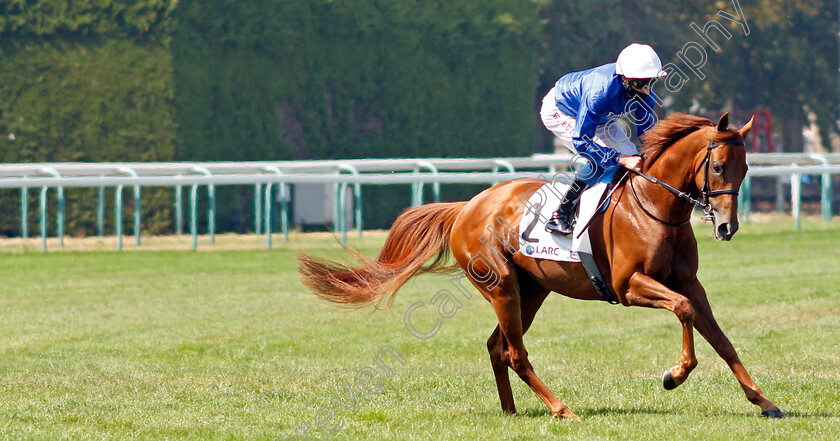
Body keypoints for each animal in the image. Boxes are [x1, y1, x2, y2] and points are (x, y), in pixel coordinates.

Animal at [298, 112, 784, 416]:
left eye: (746, 169)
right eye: (718, 166)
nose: (727, 226)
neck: (654, 205)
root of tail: (467, 206)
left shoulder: (690, 283)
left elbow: (721, 339)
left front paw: (764, 402)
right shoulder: (628, 286)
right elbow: (682, 312)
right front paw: (674, 375)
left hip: (531, 290)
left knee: (497, 347)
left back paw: (512, 411)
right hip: (501, 286)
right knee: (515, 352)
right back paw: (560, 408)